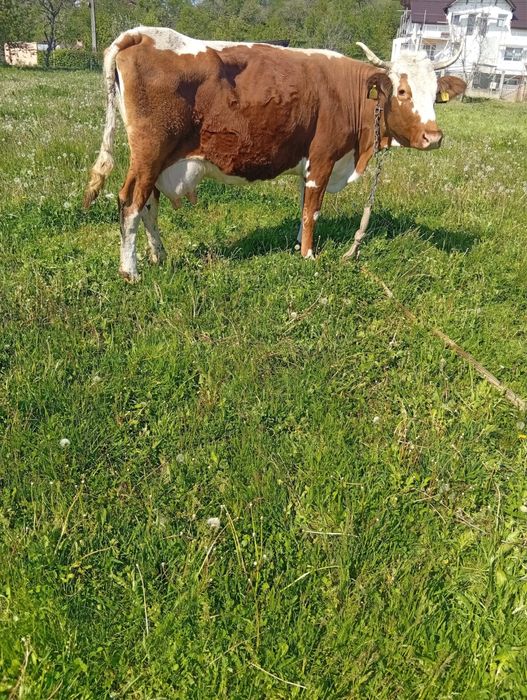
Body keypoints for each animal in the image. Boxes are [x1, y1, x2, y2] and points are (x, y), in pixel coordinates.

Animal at [83, 27, 466, 281]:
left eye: (435, 93)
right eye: (402, 91)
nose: (433, 136)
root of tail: (142, 34)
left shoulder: (308, 162)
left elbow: (303, 206)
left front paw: (298, 246)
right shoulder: (323, 158)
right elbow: (313, 211)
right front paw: (309, 255)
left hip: (156, 160)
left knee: (148, 204)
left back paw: (159, 257)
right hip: (150, 152)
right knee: (130, 203)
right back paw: (130, 271)